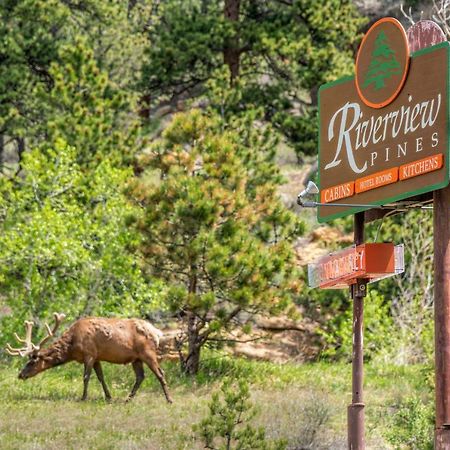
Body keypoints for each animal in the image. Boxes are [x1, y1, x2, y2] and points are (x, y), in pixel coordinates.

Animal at [6, 312, 173, 404]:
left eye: (32, 361)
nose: (21, 375)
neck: (72, 347)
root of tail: (157, 332)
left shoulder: (89, 354)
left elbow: (86, 377)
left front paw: (83, 397)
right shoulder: (97, 357)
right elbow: (101, 377)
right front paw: (109, 397)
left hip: (148, 353)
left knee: (160, 373)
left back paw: (169, 399)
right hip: (136, 358)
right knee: (140, 377)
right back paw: (127, 399)